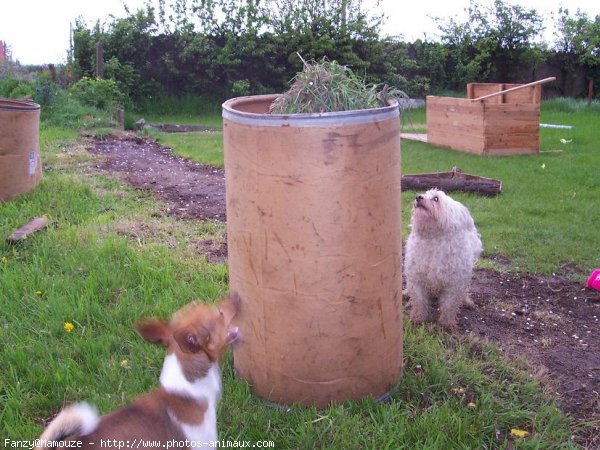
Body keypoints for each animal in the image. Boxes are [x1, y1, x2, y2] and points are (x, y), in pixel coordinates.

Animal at [404, 188, 482, 328]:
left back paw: (466, 300)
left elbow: (449, 305)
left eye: (436, 198)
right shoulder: (417, 279)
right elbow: (419, 301)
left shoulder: (455, 284)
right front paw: (417, 319)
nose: (418, 197)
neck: (433, 239)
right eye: (424, 194)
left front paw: (446, 323)